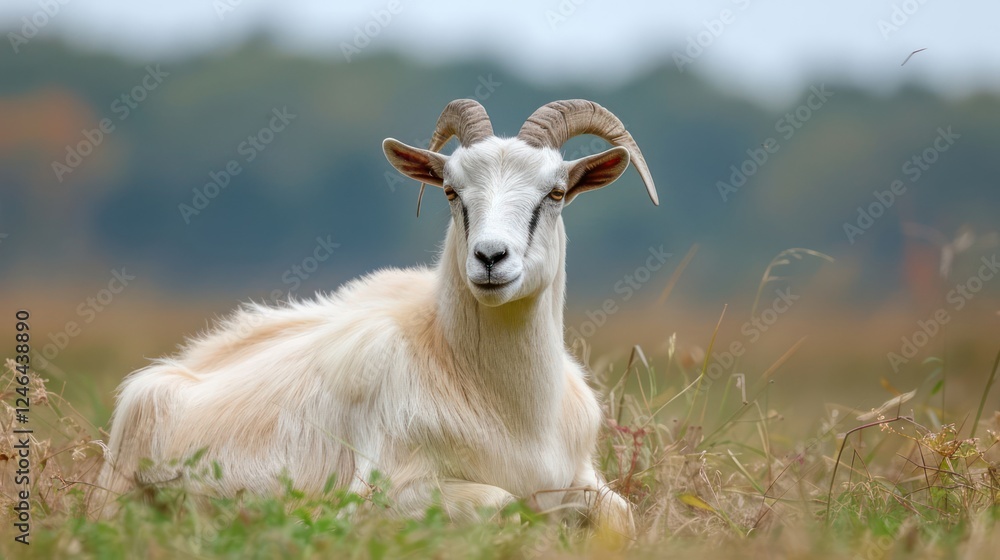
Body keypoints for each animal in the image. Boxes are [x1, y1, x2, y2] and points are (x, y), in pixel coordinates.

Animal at [98, 99, 659, 537]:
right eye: (451, 192)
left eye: (556, 192)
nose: (489, 257)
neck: (509, 414)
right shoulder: (382, 492)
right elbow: (503, 504)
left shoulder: (580, 479)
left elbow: (622, 515)